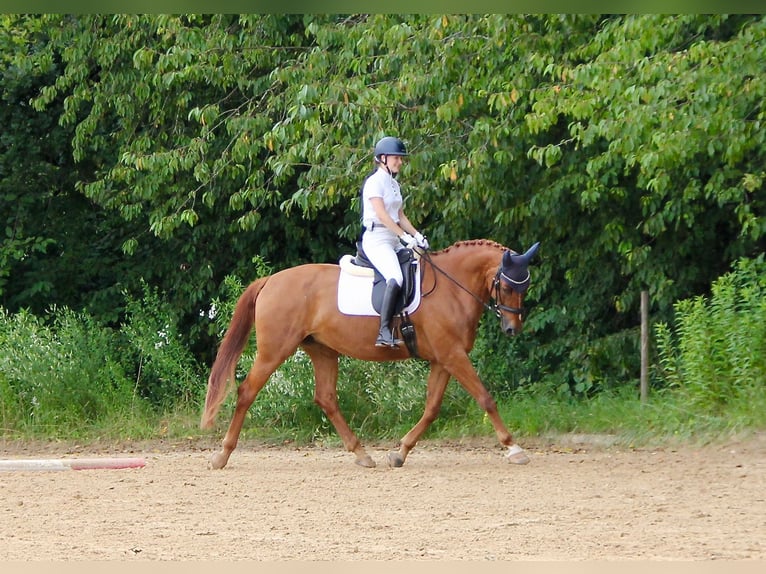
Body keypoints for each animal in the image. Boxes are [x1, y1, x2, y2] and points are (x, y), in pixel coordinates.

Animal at [201, 241, 544, 470]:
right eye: (507, 286)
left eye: (525, 287)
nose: (512, 329)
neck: (451, 287)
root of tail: (270, 280)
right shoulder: (453, 355)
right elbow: (486, 398)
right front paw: (514, 448)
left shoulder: (443, 359)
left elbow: (432, 408)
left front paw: (400, 452)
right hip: (275, 350)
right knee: (247, 391)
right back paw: (222, 456)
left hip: (322, 350)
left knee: (326, 398)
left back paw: (362, 455)